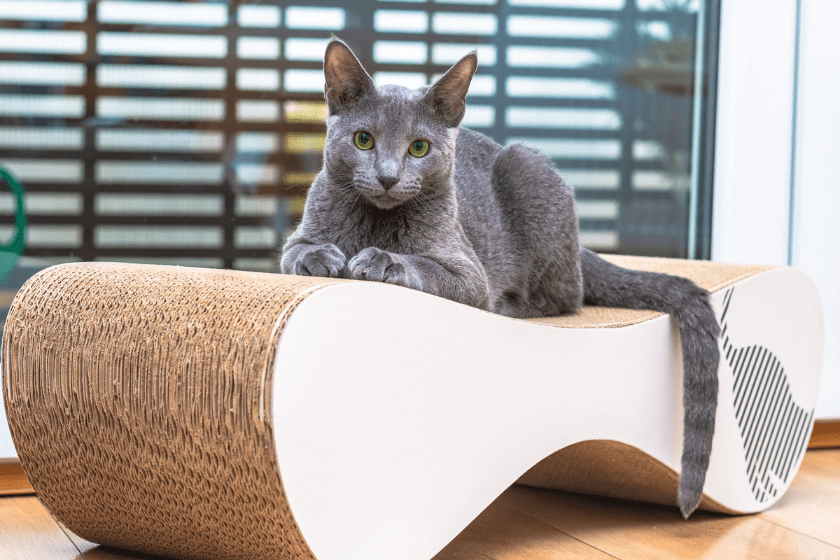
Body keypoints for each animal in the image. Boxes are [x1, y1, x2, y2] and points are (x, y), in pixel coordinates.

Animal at [282, 39, 720, 520]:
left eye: (419, 148)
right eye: (363, 139)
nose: (388, 176)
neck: (375, 222)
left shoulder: (466, 271)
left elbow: (424, 266)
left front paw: (379, 260)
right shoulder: (297, 238)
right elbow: (297, 251)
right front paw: (322, 258)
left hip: (528, 172)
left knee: (567, 296)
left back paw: (510, 304)